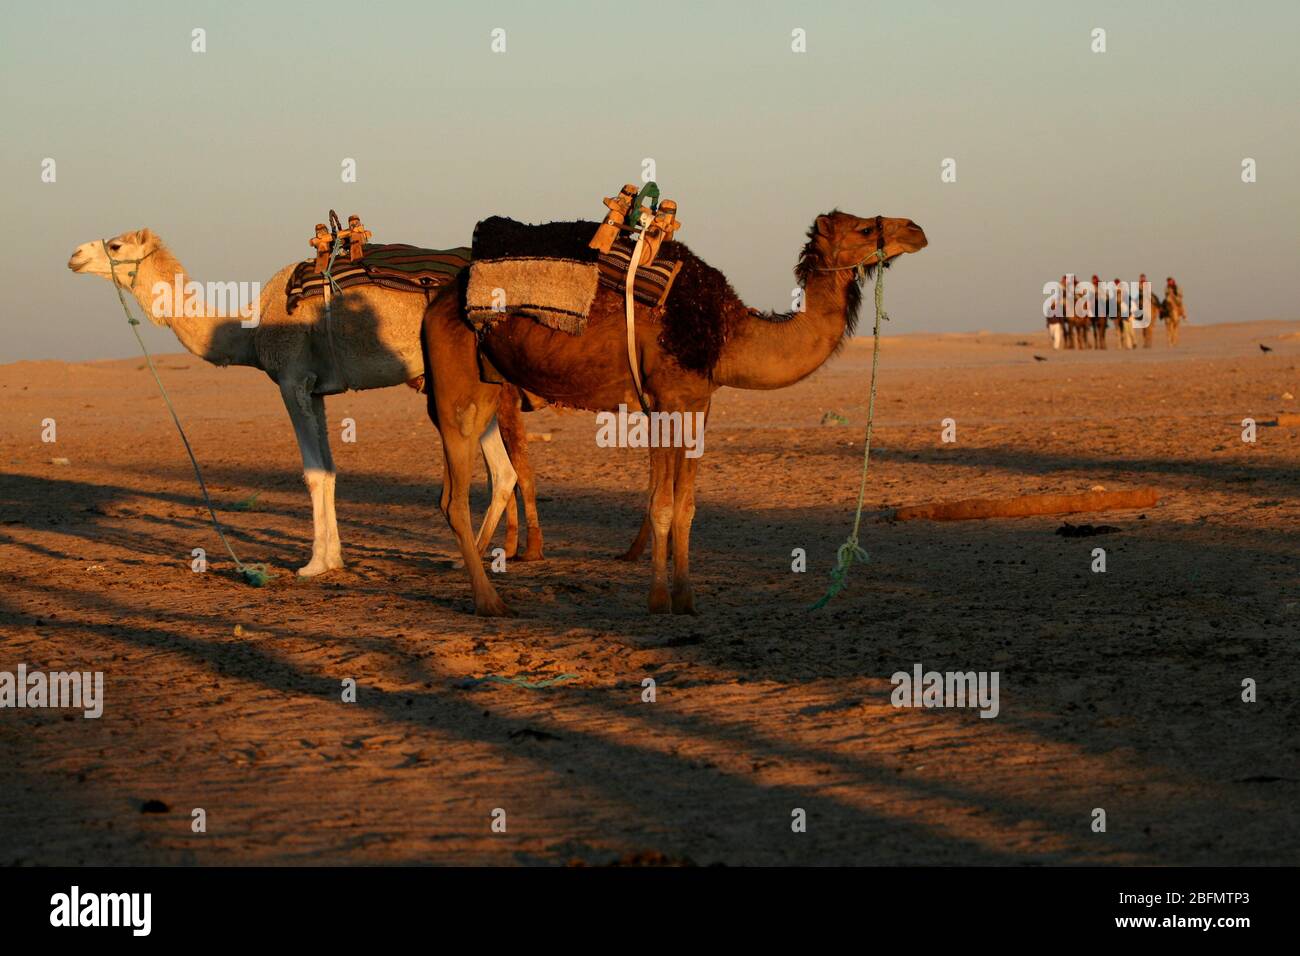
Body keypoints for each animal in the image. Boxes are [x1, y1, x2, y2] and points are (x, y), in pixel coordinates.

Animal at [65, 227, 512, 580]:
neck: (249, 329)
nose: (74, 255)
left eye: (116, 245)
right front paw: (332, 558)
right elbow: (328, 471)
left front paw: (313, 564)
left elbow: (313, 473)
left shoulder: (291, 379)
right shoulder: (316, 390)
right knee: (503, 472)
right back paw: (466, 556)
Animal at [421, 210, 930, 616]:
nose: (916, 229)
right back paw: (491, 602)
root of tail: (439, 302)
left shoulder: (698, 404)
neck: (726, 334)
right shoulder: (665, 399)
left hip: (489, 388)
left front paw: (686, 598)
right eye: (864, 228)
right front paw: (658, 600)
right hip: (455, 390)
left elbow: (685, 507)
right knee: (454, 499)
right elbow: (661, 505)